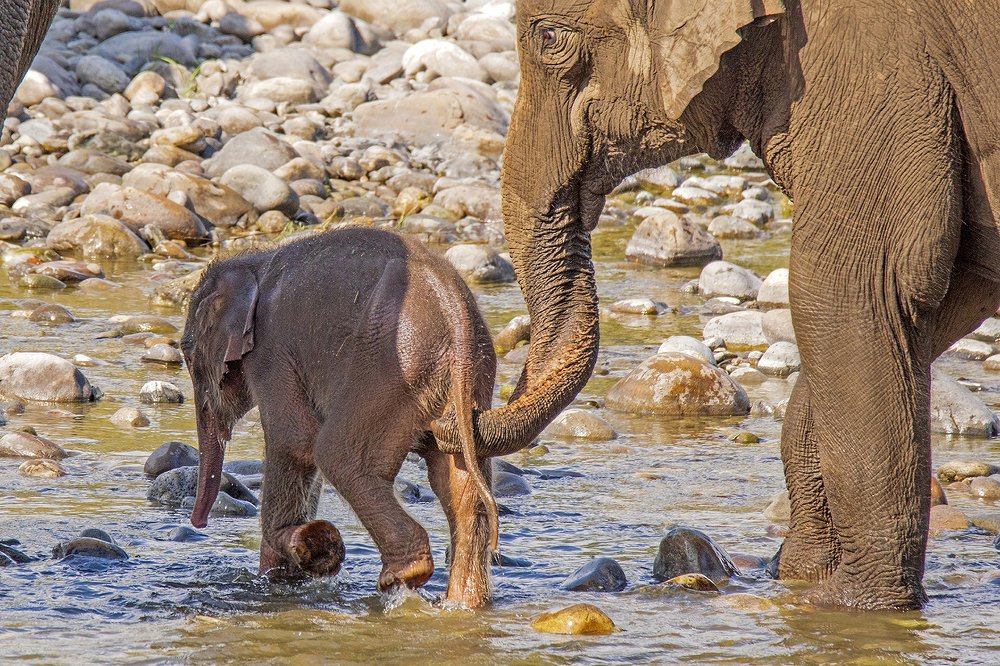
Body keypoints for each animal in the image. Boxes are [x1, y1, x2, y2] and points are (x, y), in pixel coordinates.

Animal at [180, 228, 499, 608]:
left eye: (189, 356)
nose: (198, 523)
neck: (254, 262)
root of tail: (455, 313)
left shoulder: (271, 354)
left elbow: (294, 442)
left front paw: (282, 564)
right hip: (465, 386)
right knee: (461, 486)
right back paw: (463, 604)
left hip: (386, 375)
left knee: (335, 454)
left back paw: (403, 575)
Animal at [434, 0, 1000, 610]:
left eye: (549, 37)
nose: (456, 418)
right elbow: (937, 297)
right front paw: (796, 574)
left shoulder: (876, 72)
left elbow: (847, 294)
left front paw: (847, 606)